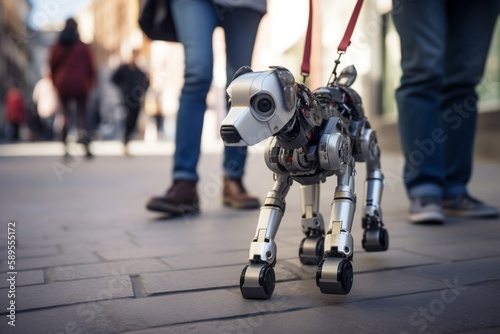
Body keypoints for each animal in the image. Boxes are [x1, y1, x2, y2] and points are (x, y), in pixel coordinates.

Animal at [221, 64, 388, 298]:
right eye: (230, 101)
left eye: (264, 104)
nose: (227, 131)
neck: (303, 135)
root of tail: (340, 85)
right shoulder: (282, 172)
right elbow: (273, 202)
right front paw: (258, 267)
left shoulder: (340, 152)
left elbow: (344, 196)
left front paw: (336, 261)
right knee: (310, 189)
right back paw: (312, 239)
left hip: (363, 139)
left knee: (373, 165)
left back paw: (373, 225)